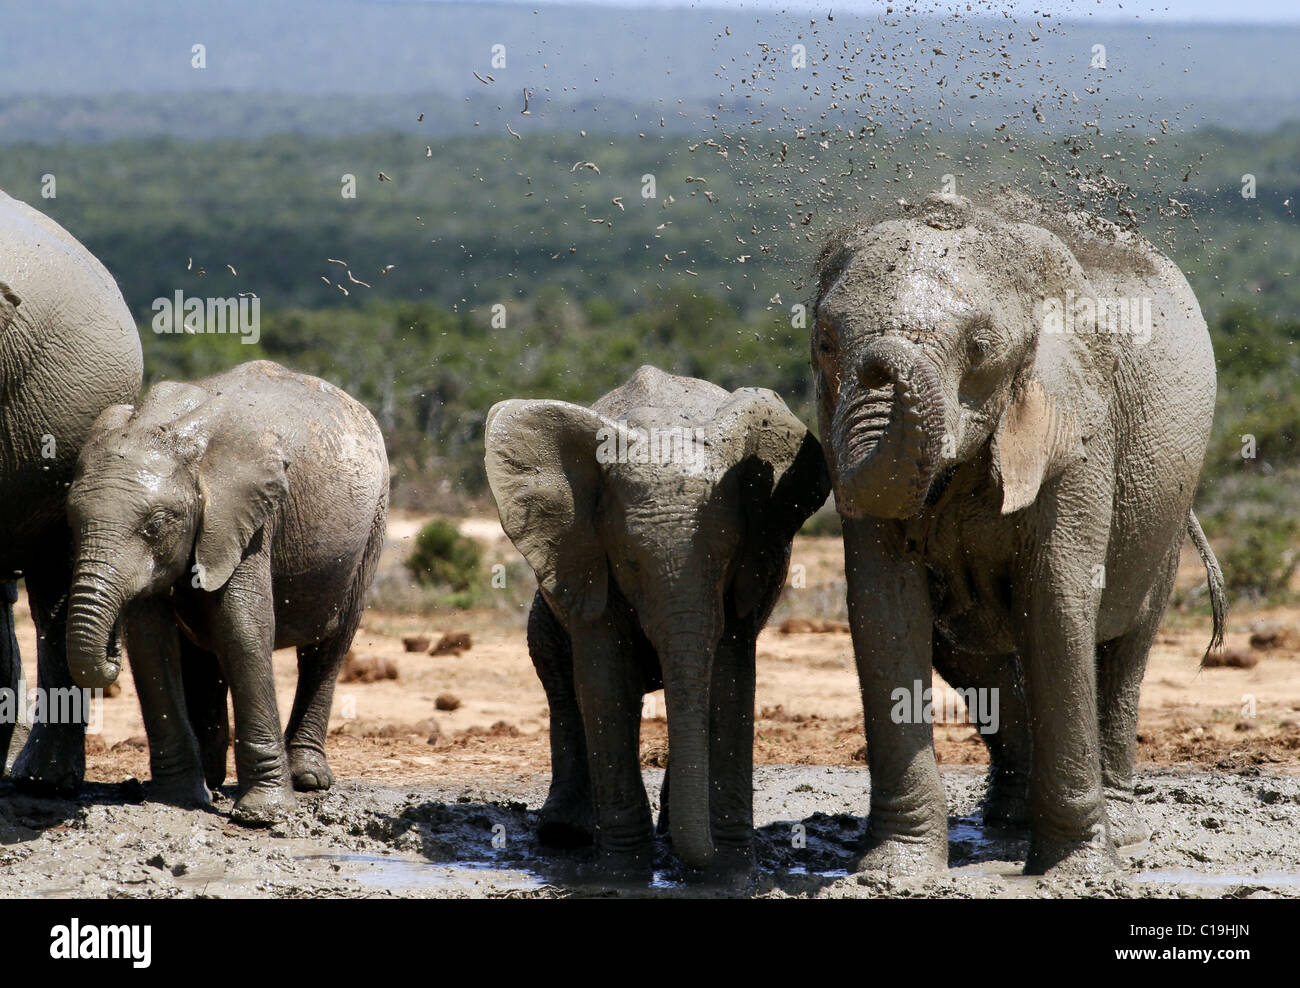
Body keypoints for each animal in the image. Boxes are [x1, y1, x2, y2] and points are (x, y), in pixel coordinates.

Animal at [65, 358, 387, 821]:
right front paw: (177, 799)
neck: (174, 429)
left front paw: (264, 814)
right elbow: (151, 643)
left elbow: (243, 629)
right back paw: (212, 780)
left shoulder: (250, 518)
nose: (109, 657)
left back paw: (308, 779)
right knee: (203, 652)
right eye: (71, 521)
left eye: (155, 525)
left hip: (372, 523)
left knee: (328, 645)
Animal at [483, 366, 826, 873]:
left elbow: (729, 680)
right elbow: (604, 682)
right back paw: (565, 835)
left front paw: (730, 866)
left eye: (726, 559)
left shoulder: (747, 573)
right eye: (631, 563)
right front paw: (625, 868)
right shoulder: (588, 559)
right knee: (559, 681)